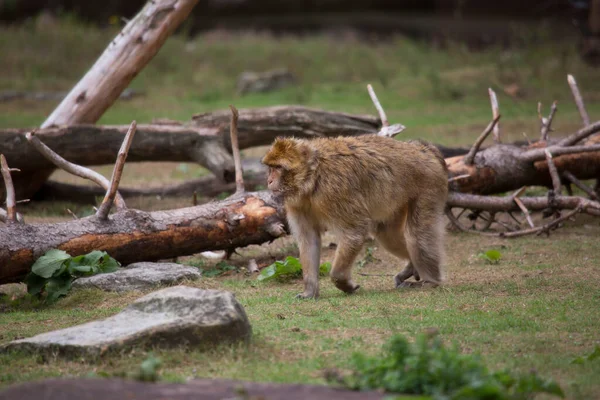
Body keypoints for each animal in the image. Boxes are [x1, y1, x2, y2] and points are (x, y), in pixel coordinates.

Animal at [260, 136, 448, 298]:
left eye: (278, 168)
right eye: (270, 168)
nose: (269, 180)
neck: (312, 179)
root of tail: (423, 149)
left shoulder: (335, 191)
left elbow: (354, 233)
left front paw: (343, 282)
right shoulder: (298, 204)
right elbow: (309, 240)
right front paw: (310, 291)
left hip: (429, 184)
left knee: (418, 234)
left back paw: (431, 281)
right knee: (387, 235)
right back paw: (411, 267)